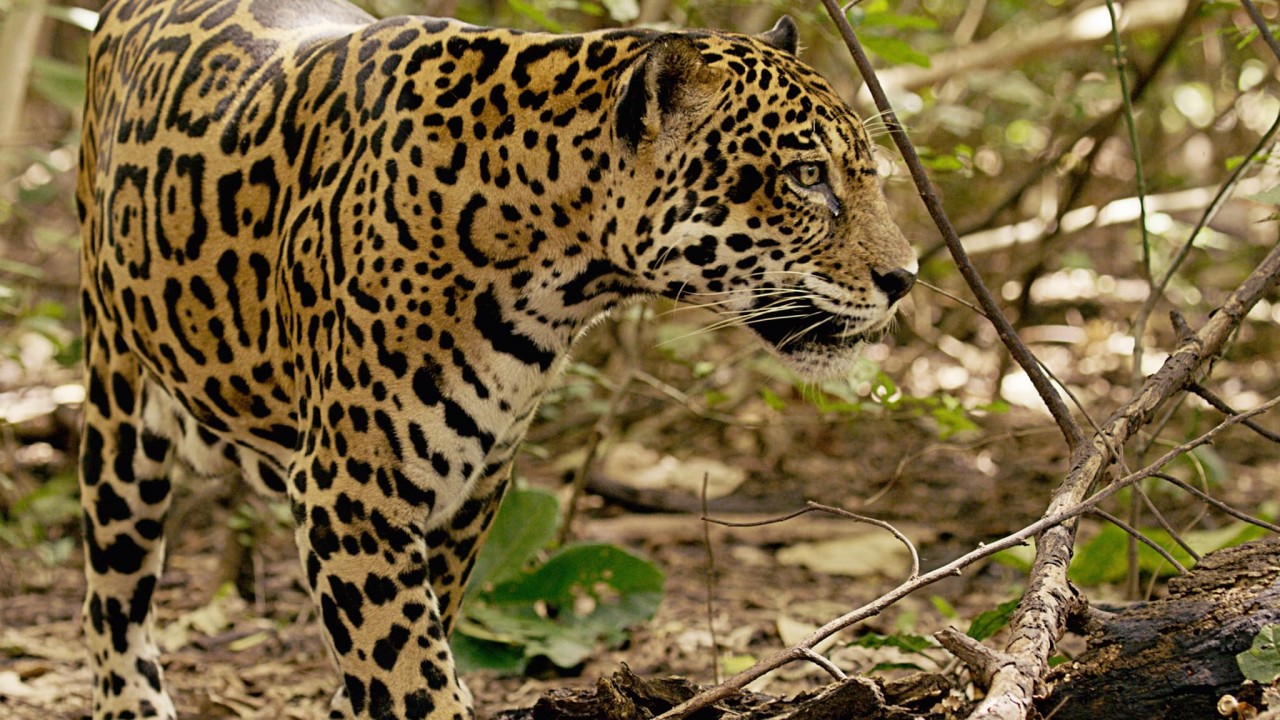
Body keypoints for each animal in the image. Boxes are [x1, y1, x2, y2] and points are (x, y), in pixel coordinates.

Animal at [75, 0, 917, 717]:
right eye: (806, 177)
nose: (905, 277)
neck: (557, 264)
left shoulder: (471, 484)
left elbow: (407, 638)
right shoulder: (348, 489)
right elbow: (408, 666)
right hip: (118, 409)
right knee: (112, 596)